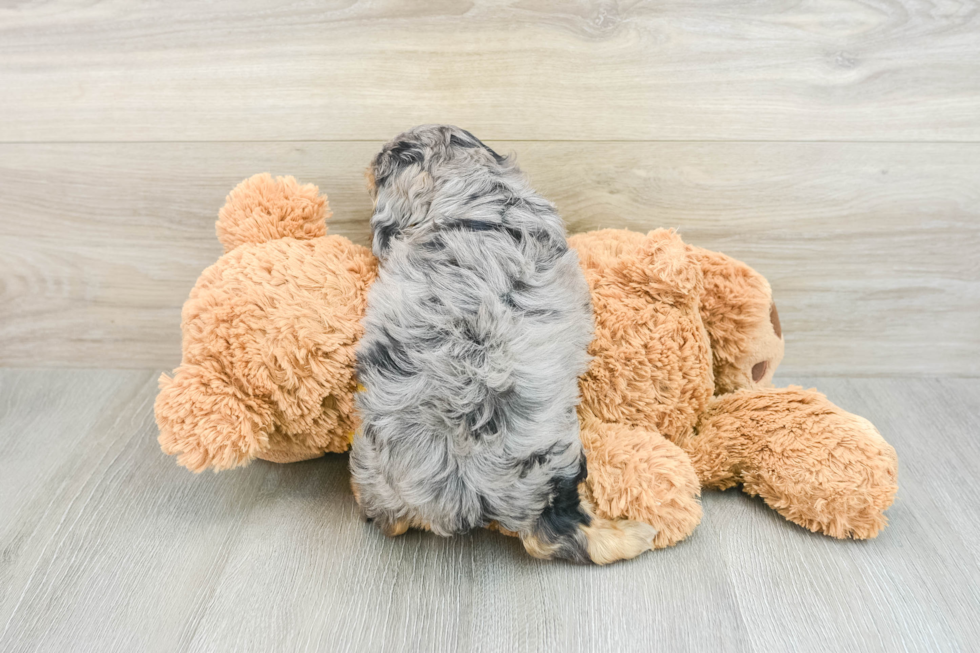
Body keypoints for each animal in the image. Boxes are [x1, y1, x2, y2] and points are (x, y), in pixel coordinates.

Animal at [348, 125, 656, 564]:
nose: (369, 162)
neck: (466, 186)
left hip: (372, 468)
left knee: (384, 517)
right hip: (555, 466)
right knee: (559, 536)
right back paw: (633, 534)